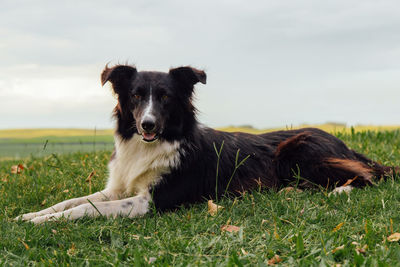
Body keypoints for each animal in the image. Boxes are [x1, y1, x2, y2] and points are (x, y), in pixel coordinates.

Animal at [17, 64, 398, 224]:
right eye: (136, 95)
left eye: (166, 97)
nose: (147, 124)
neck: (154, 144)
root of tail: (342, 142)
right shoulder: (119, 188)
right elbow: (74, 201)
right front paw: (31, 215)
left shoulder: (151, 201)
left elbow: (87, 209)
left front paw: (41, 222)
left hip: (297, 148)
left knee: (368, 176)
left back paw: (334, 191)